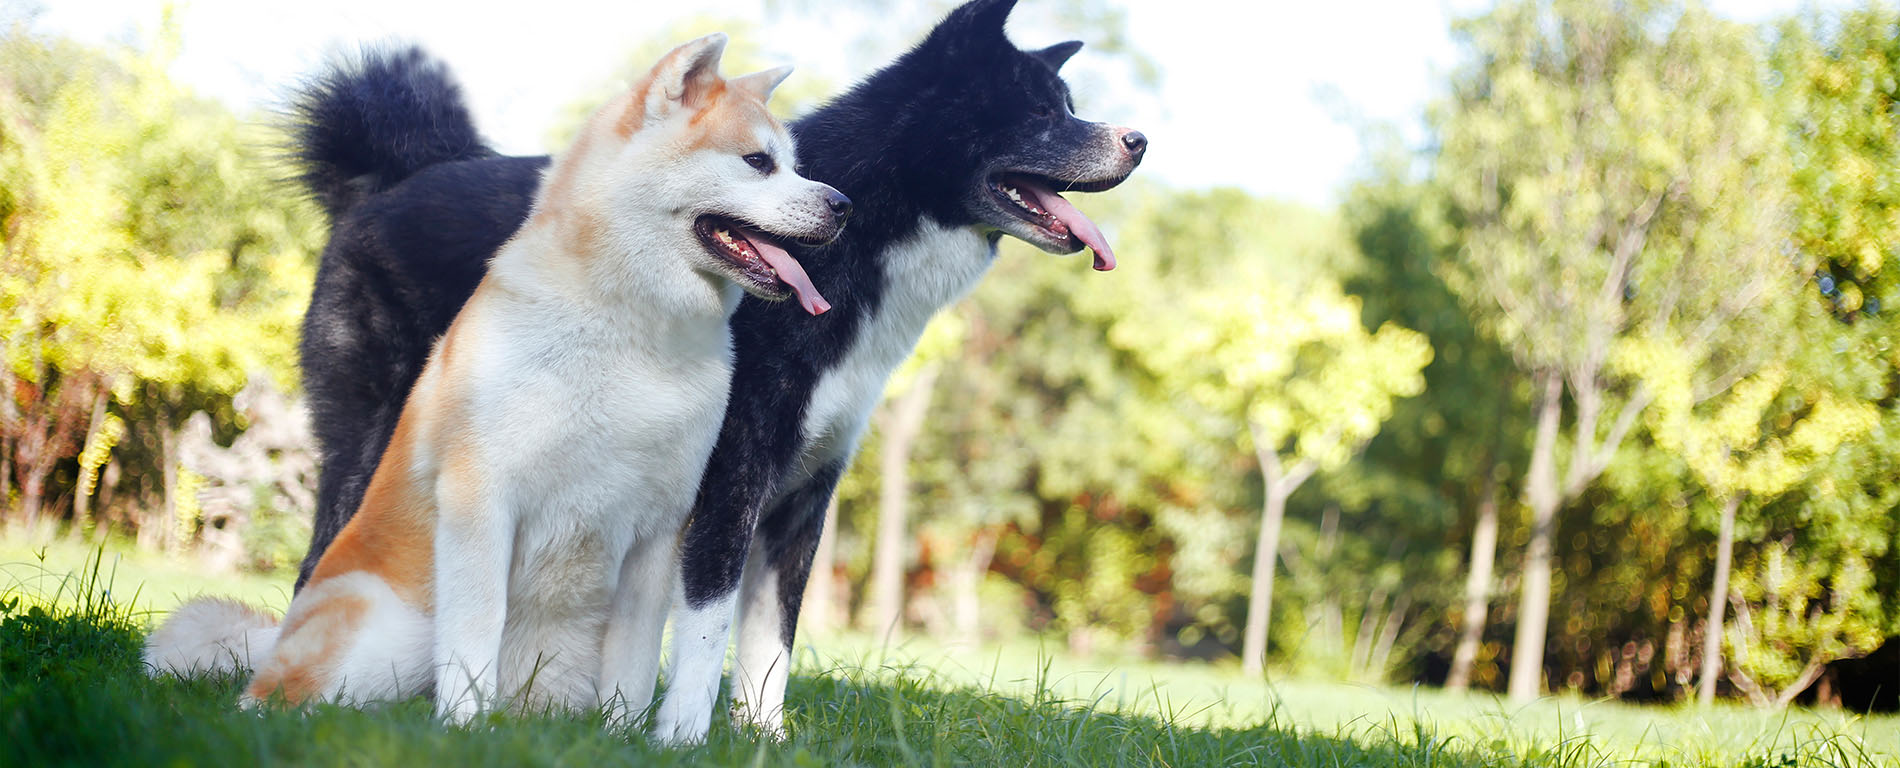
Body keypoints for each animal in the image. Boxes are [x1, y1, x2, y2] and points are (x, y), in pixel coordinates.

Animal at [152, 31, 851, 726]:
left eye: (794, 164)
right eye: (758, 161)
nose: (842, 205)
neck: (633, 336)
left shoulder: (661, 530)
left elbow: (634, 660)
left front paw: (623, 734)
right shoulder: (482, 499)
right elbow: (475, 631)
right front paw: (463, 728)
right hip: (385, 630)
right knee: (281, 693)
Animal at [283, 0, 1140, 745]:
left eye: (1066, 104)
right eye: (1042, 111)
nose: (1138, 141)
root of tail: (388, 183)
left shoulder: (805, 494)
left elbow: (770, 641)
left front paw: (761, 738)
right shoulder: (730, 477)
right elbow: (706, 624)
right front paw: (682, 735)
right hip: (373, 456)